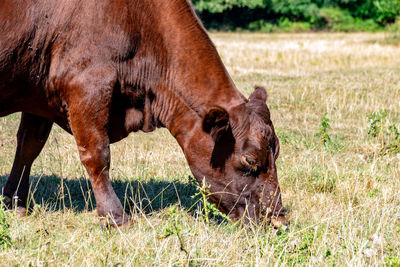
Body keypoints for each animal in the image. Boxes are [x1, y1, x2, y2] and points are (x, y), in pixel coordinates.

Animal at [1, 0, 286, 227]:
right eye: (250, 159)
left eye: (277, 151)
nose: (278, 220)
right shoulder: (86, 85)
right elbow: (97, 155)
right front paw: (115, 217)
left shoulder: (38, 94)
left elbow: (28, 148)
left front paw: (15, 203)